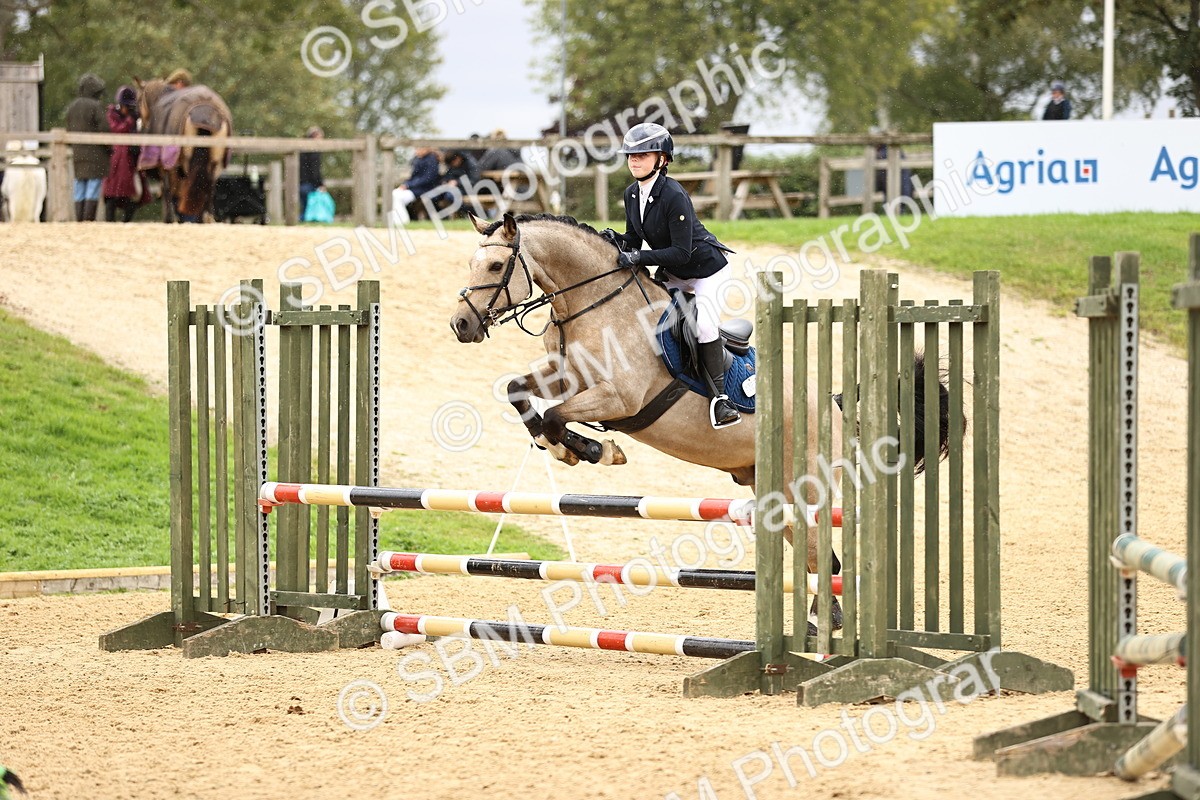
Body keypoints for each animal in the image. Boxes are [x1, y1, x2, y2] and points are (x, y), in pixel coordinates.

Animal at [135, 79, 231, 223]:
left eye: (138, 100)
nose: (140, 123)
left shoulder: (168, 166)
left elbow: (168, 191)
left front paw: (170, 218)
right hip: (215, 163)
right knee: (209, 188)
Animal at [450, 212, 952, 614]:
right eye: (471, 264)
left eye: (495, 266)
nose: (461, 325)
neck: (595, 305)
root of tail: (833, 403)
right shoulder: (566, 377)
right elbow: (519, 392)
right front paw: (562, 447)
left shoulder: (620, 398)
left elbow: (557, 416)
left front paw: (593, 449)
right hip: (774, 493)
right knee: (819, 560)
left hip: (806, 488)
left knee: (825, 555)